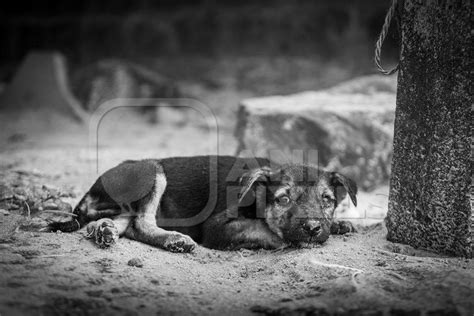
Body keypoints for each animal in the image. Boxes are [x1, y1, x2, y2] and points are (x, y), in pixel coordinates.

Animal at [50, 157, 358, 253]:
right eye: (284, 199)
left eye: (327, 200)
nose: (312, 228)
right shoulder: (217, 226)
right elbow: (262, 229)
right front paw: (288, 240)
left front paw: (339, 224)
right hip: (152, 171)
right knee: (141, 223)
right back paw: (175, 240)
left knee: (124, 222)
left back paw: (105, 230)